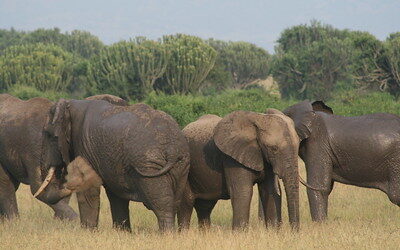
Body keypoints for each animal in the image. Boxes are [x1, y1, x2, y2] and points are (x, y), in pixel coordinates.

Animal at [39, 98, 191, 231]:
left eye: (49, 135)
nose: (67, 185)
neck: (71, 104)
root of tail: (172, 148)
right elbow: (116, 194)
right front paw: (122, 232)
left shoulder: (83, 147)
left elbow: (88, 188)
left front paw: (88, 232)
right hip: (181, 165)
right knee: (174, 202)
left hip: (149, 164)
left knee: (162, 204)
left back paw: (166, 234)